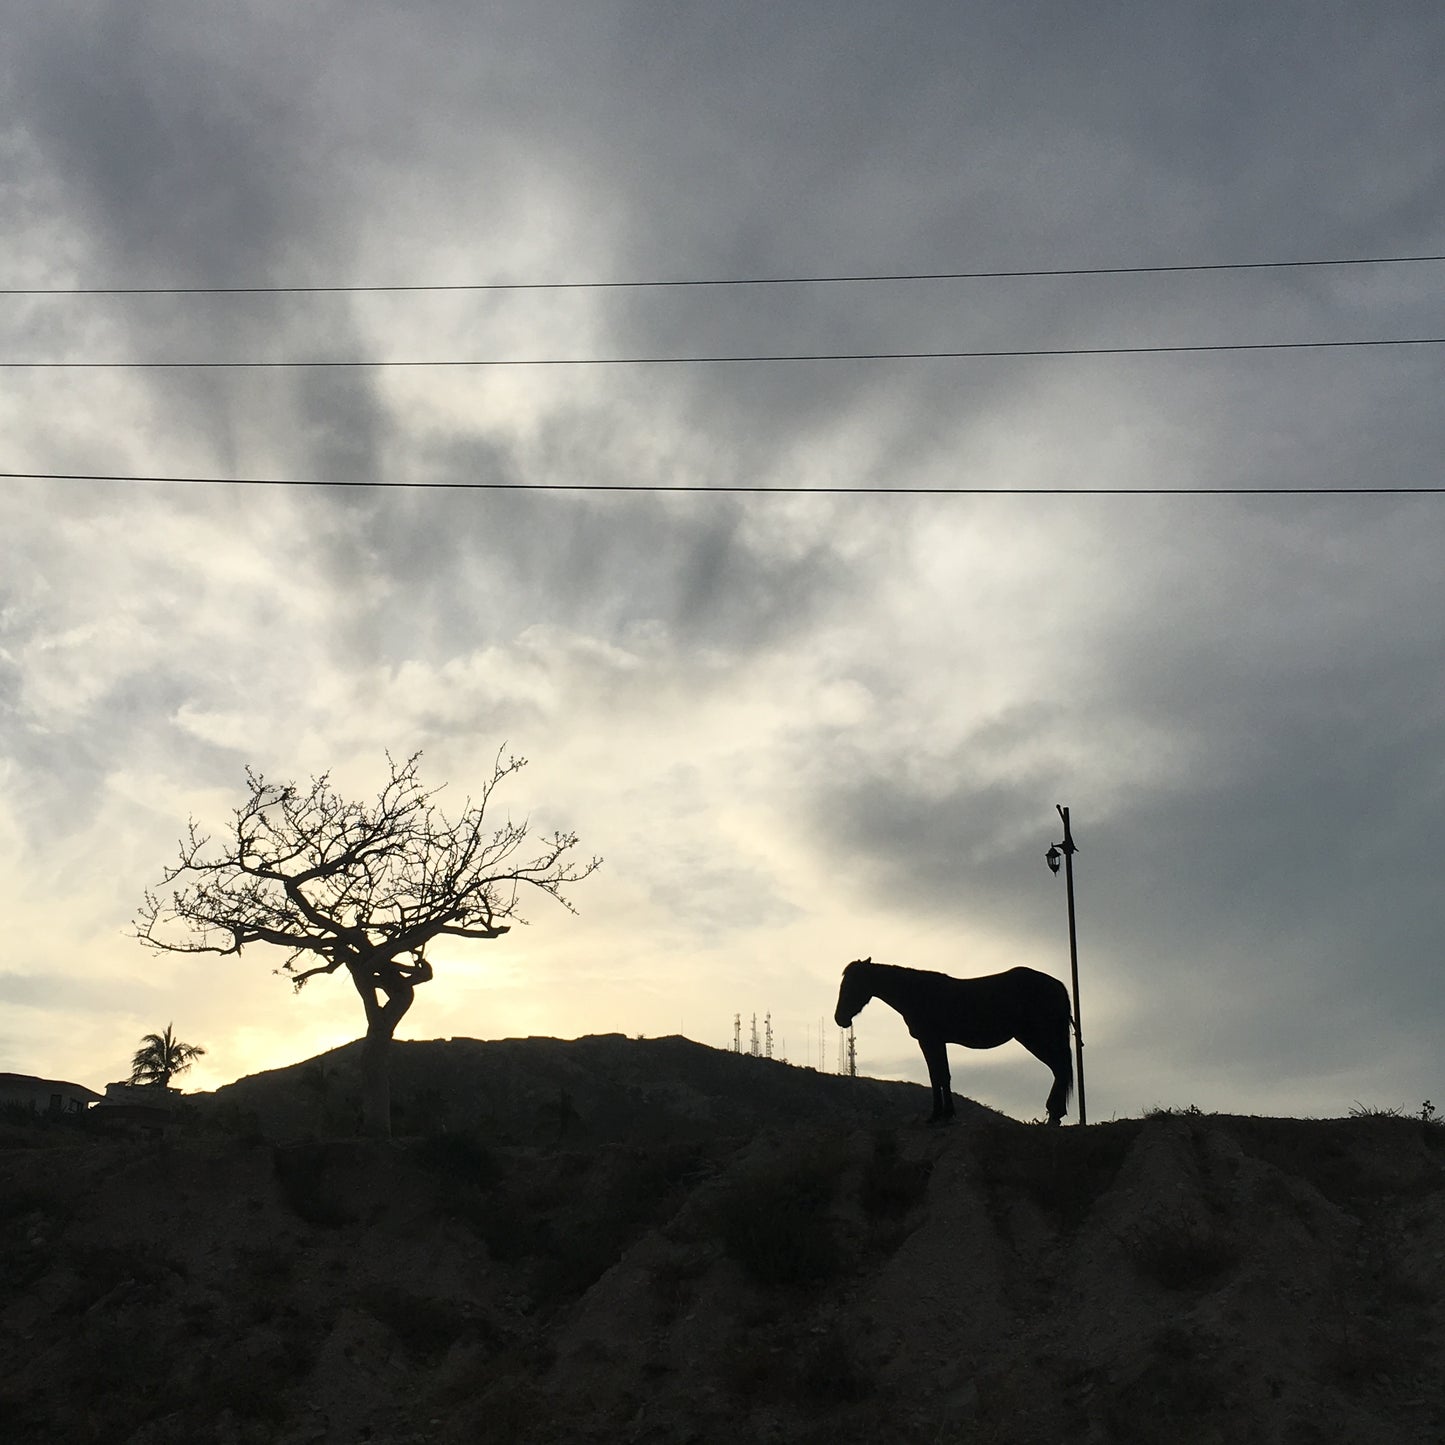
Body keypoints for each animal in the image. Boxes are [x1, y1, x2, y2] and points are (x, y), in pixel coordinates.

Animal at [834, 957, 1074, 1126]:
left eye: (851, 985)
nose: (840, 1018)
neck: (916, 993)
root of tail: (1057, 985)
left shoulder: (930, 1041)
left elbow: (937, 1076)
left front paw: (938, 1115)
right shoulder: (938, 1042)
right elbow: (942, 1075)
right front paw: (945, 1113)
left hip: (1035, 1037)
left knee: (1060, 1068)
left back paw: (1054, 1115)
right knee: (1059, 1069)